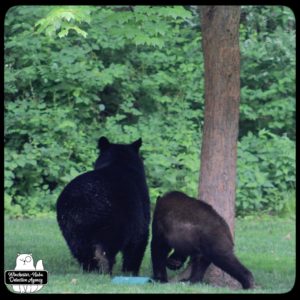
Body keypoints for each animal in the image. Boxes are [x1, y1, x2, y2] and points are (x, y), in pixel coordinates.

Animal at [56, 137, 150, 276]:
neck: (119, 163)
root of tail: (80, 200)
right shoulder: (141, 210)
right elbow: (139, 240)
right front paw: (131, 271)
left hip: (70, 225)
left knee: (80, 250)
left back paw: (90, 271)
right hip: (111, 222)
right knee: (105, 249)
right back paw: (105, 271)